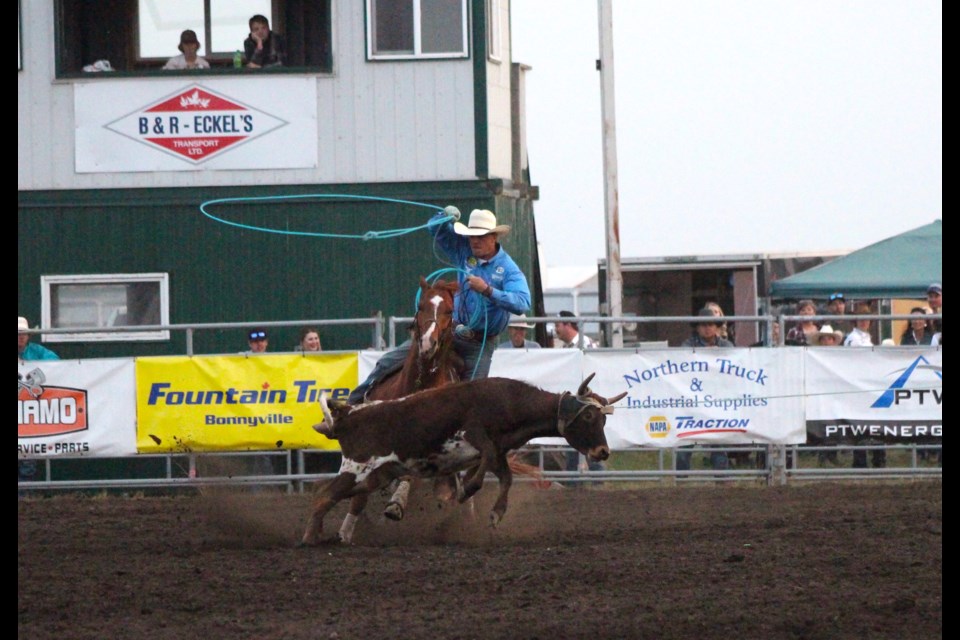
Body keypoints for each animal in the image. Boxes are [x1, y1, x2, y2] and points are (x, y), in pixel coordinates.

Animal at [304, 376, 628, 544]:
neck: (509, 402)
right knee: (324, 496)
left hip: (374, 476)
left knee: (326, 493)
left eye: (603, 419)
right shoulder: (473, 434)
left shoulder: (499, 452)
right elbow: (483, 462)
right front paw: (467, 490)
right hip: (357, 469)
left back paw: (323, 534)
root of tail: (346, 417)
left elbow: (505, 476)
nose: (602, 453)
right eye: (588, 416)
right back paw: (309, 537)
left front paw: (496, 513)